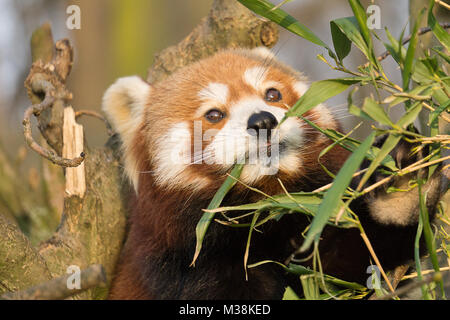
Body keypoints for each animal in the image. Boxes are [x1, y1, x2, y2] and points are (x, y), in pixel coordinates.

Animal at [102, 47, 442, 300]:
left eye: (272, 95)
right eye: (214, 114)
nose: (263, 121)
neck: (268, 206)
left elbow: (359, 263)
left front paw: (401, 183)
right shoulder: (181, 263)